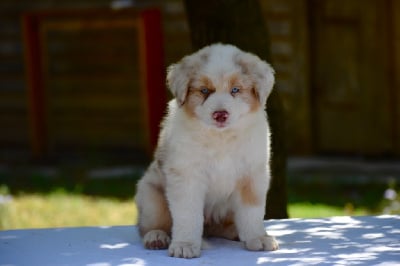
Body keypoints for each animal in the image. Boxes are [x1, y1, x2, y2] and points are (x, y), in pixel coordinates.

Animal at [134, 43, 278, 258]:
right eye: (204, 90)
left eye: (235, 90)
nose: (220, 114)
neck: (221, 138)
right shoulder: (186, 175)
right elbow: (188, 214)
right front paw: (185, 245)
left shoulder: (253, 174)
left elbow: (252, 211)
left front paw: (258, 238)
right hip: (151, 197)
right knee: (148, 225)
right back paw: (156, 237)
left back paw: (235, 232)